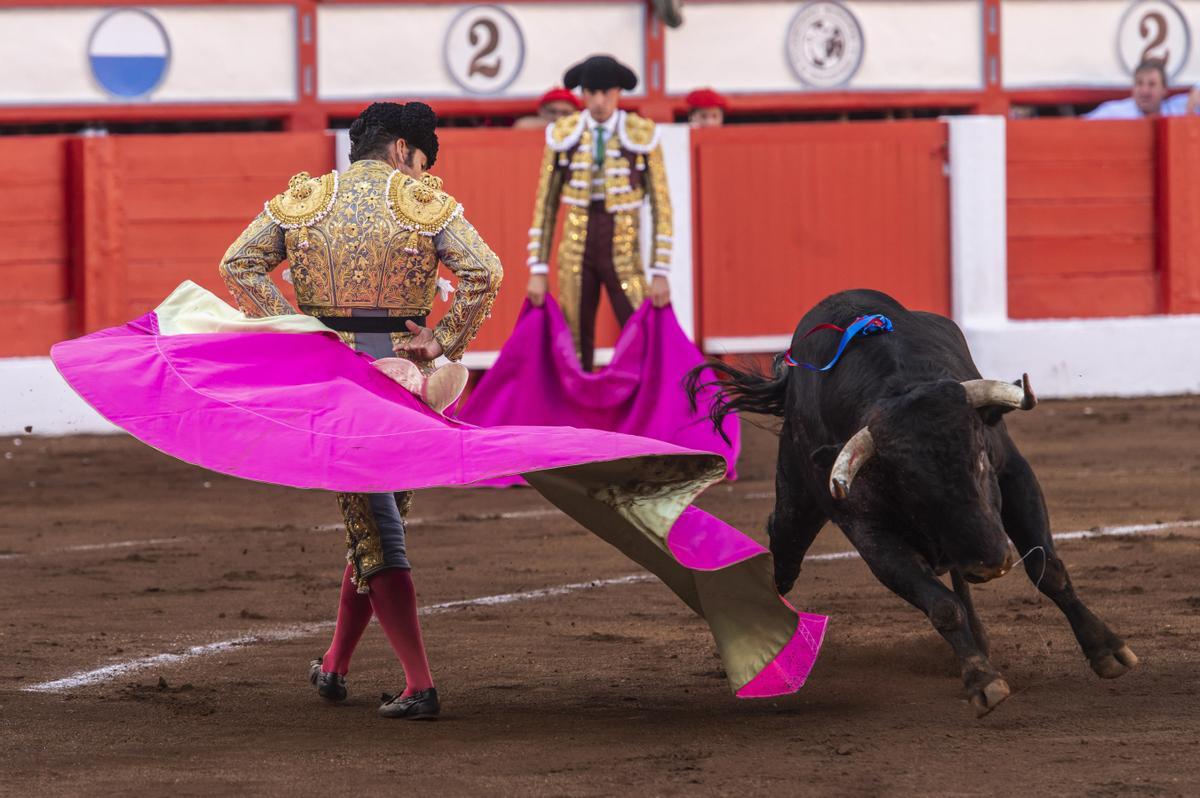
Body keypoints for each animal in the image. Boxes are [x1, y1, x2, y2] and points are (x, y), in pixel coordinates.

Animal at [691, 289, 1137, 710]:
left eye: (979, 459)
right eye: (910, 483)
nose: (989, 563)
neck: (899, 383)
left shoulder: (1013, 474)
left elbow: (1048, 570)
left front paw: (1107, 650)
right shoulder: (869, 532)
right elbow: (942, 606)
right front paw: (981, 679)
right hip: (796, 501)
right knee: (784, 555)